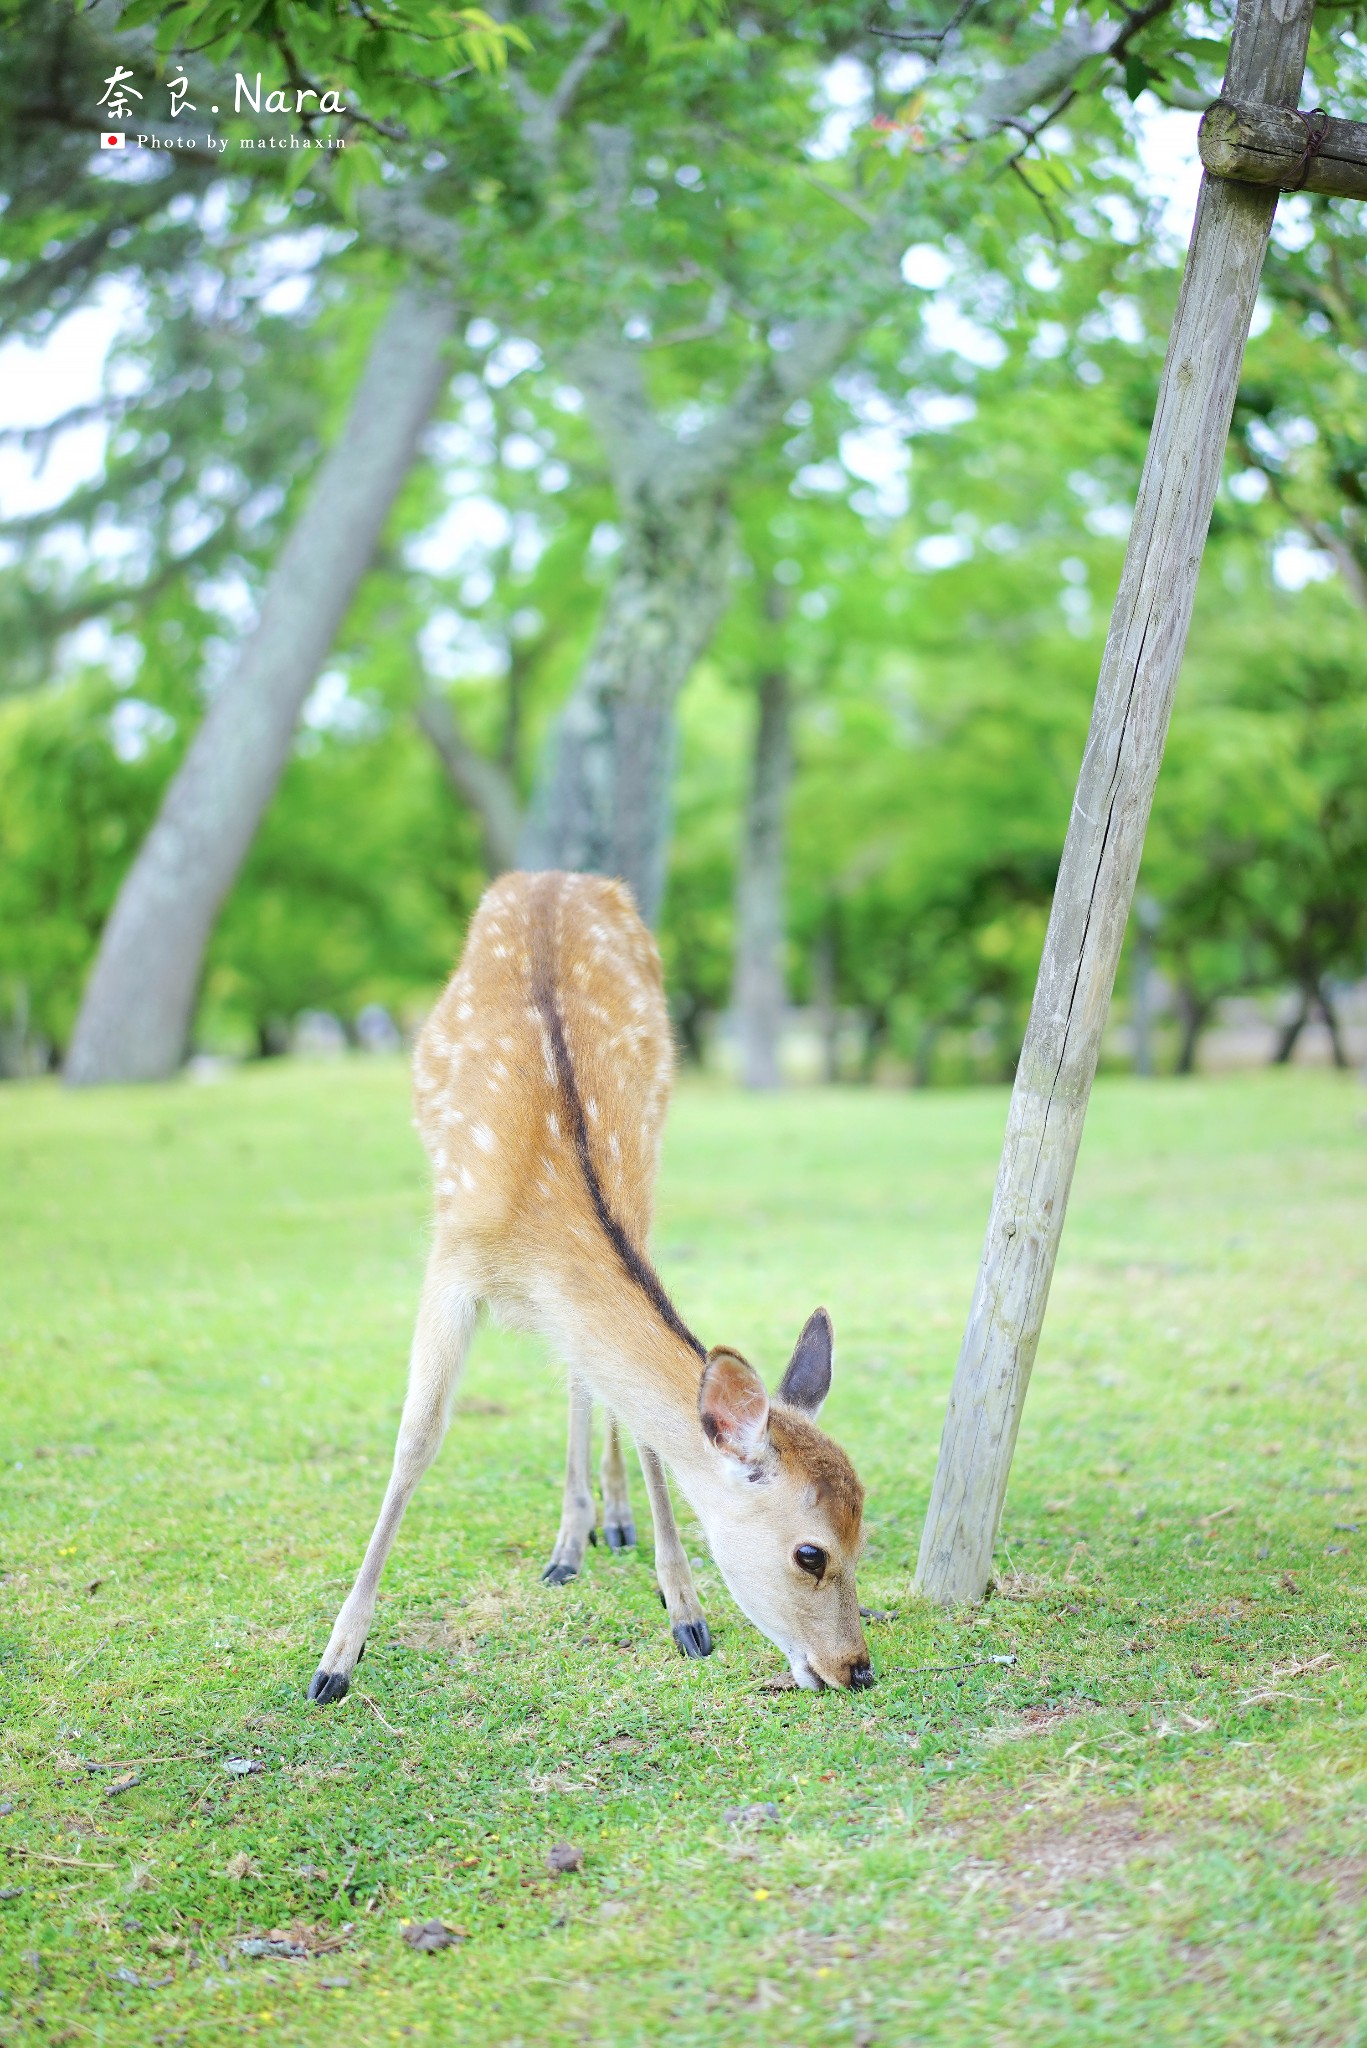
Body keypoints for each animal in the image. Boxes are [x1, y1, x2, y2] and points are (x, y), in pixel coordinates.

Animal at [307, 872, 877, 1703]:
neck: (537, 1214)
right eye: (812, 1553)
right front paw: (336, 1659)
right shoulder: (448, 1257)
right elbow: (416, 1438)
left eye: (864, 1533)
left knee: (586, 1381)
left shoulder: (635, 1216)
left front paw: (685, 1610)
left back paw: (603, 1522)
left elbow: (642, 1430)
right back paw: (573, 1540)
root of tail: (555, 876)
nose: (857, 1668)